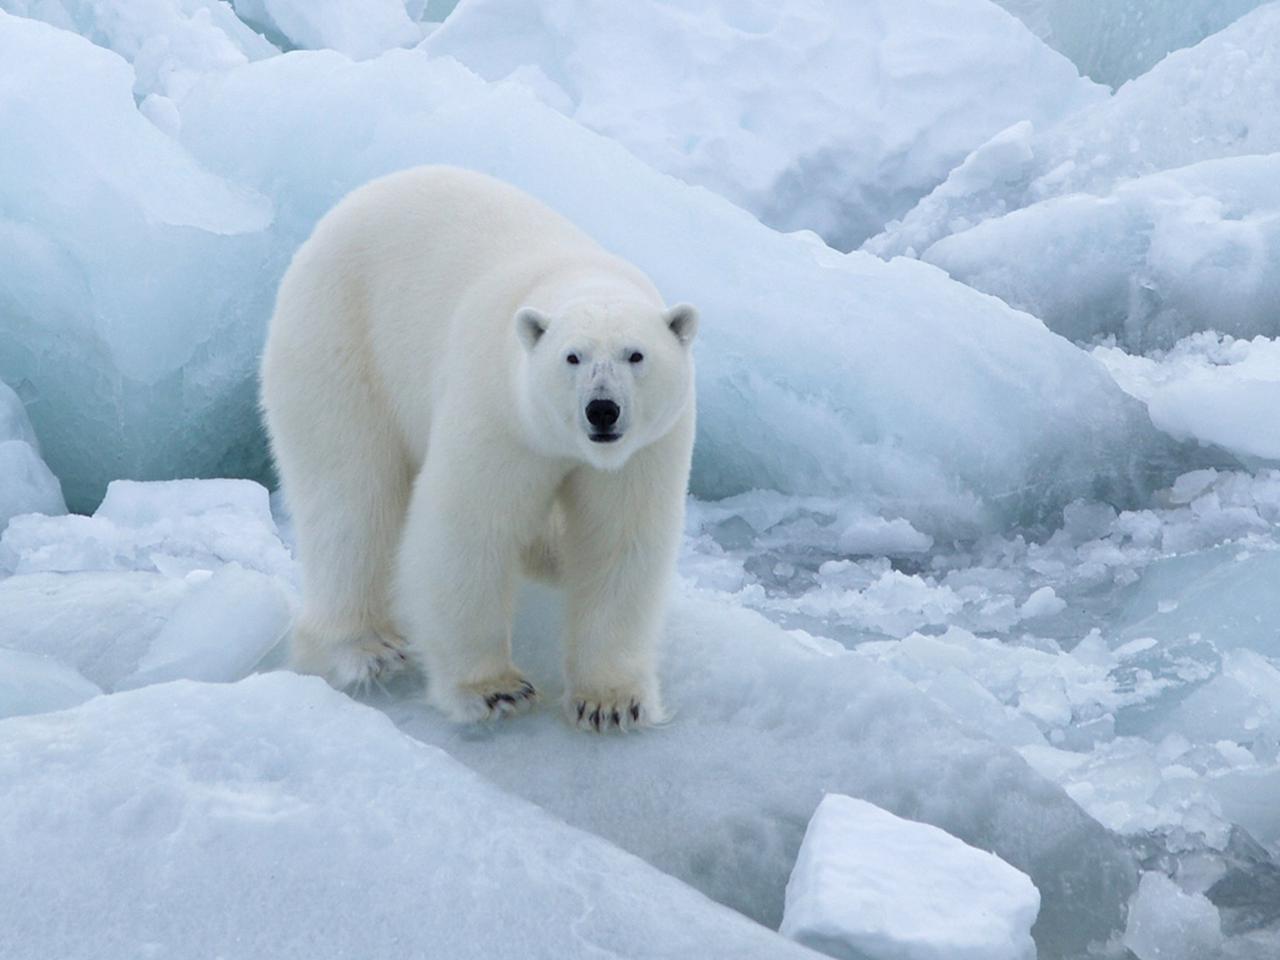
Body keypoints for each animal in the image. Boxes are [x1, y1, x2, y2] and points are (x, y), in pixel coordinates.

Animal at [262, 167, 701, 737]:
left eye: (636, 355)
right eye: (572, 357)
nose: (602, 410)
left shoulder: (645, 451)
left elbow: (619, 542)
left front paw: (610, 702)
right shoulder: (497, 413)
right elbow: (468, 530)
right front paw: (494, 690)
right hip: (339, 342)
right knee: (352, 498)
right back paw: (363, 646)